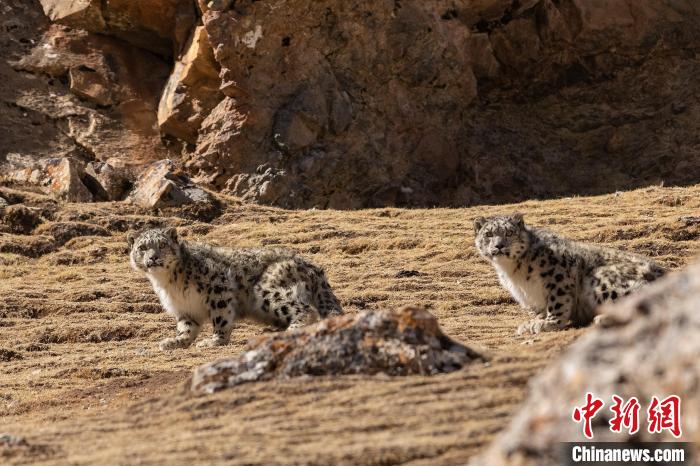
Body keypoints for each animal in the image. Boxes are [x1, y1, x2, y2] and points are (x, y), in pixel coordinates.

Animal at [129, 228, 344, 352]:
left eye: (162, 245)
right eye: (142, 247)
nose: (153, 257)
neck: (168, 282)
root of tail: (311, 265)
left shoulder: (217, 287)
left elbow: (221, 318)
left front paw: (214, 341)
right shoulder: (185, 309)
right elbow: (186, 328)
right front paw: (175, 342)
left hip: (266, 290)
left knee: (307, 310)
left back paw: (288, 331)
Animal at [474, 213, 664, 334]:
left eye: (509, 232)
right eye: (488, 234)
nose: (499, 245)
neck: (514, 272)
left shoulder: (557, 275)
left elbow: (556, 303)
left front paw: (548, 324)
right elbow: (540, 309)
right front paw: (532, 323)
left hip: (602, 279)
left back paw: (603, 318)